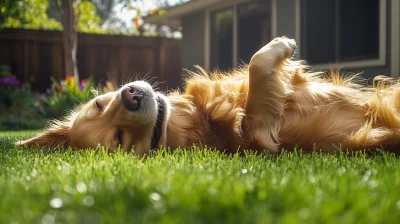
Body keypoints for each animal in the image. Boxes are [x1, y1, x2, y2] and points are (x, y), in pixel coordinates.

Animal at [20, 38, 400, 154]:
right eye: (119, 139)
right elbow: (258, 77)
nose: (131, 96)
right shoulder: (261, 135)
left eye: (100, 103)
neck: (201, 118)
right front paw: (281, 46)